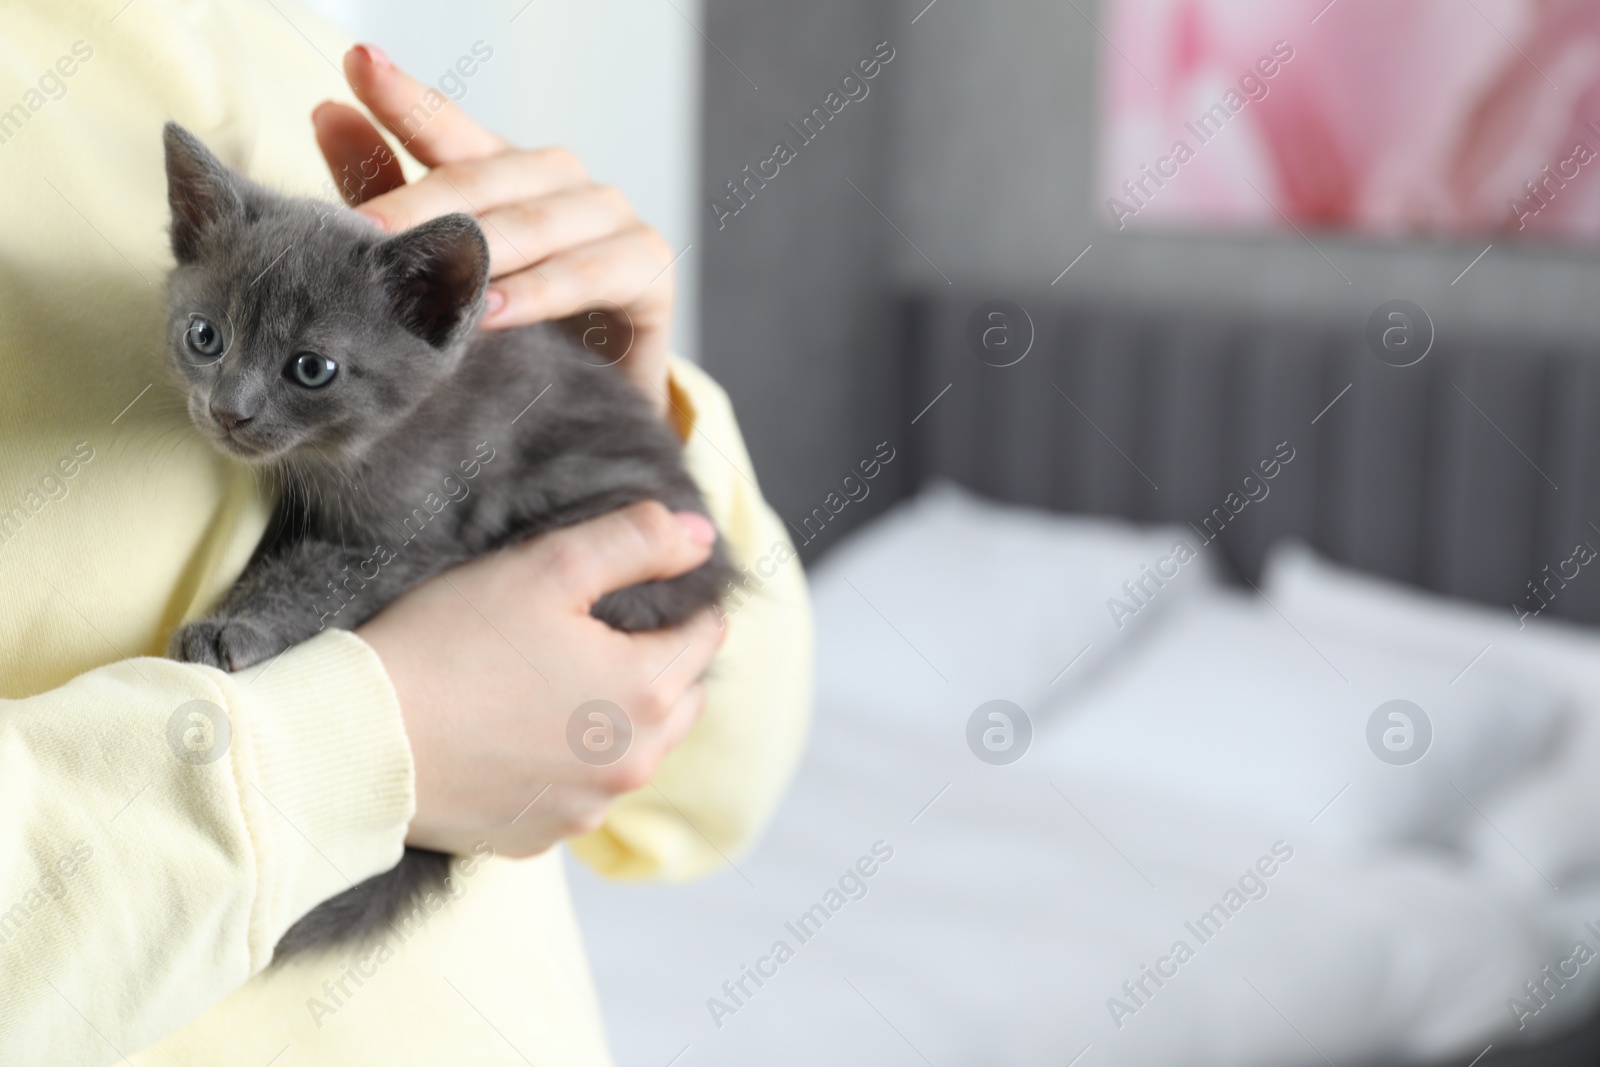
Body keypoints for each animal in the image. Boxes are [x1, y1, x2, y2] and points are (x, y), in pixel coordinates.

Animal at [159, 123, 732, 959]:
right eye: (206, 336)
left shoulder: (422, 528)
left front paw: (236, 625)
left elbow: (324, 577)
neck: (352, 452)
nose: (229, 410)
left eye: (312, 367)